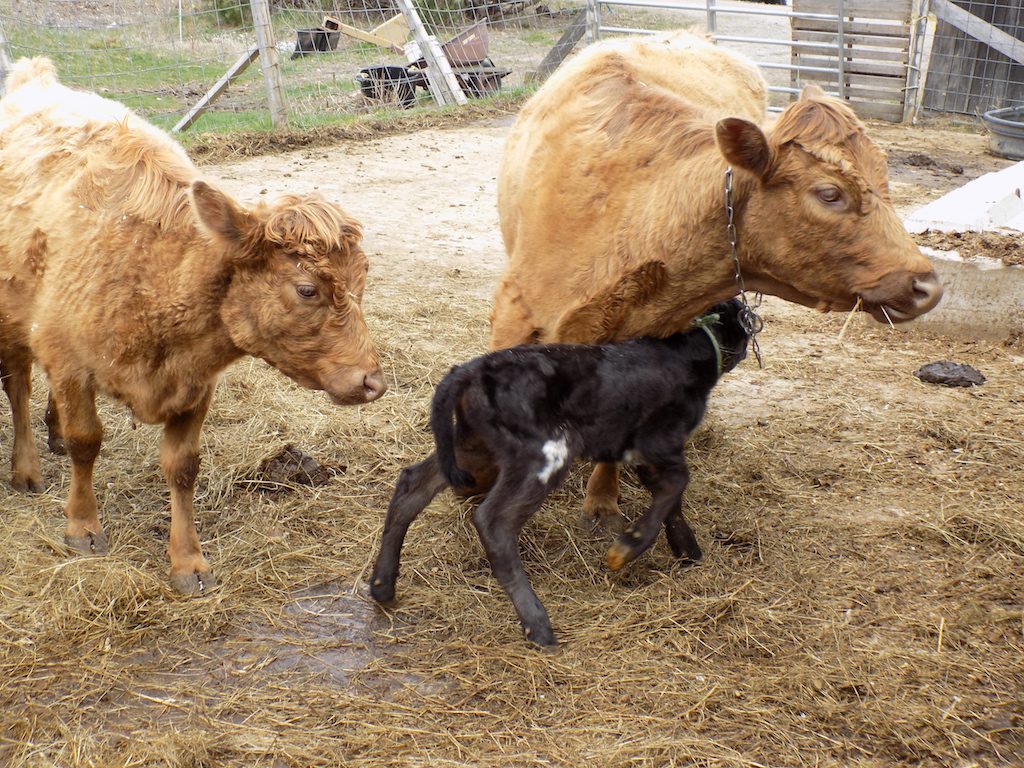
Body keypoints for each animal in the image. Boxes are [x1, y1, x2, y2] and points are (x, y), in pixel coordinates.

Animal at [0, 58, 385, 593]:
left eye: (363, 279)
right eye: (308, 289)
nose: (373, 382)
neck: (152, 269)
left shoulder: (196, 383)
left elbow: (182, 467)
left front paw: (188, 562)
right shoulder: (71, 360)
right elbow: (86, 441)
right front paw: (83, 526)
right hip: (13, 317)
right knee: (17, 384)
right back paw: (27, 468)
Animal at [370, 296, 753, 647]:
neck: (686, 353)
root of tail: (471, 370)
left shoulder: (646, 452)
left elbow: (669, 495)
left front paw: (686, 548)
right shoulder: (658, 441)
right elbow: (677, 484)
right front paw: (627, 547)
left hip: (471, 446)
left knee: (412, 485)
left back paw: (382, 585)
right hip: (543, 453)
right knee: (493, 521)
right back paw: (537, 624)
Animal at [487, 27, 942, 528]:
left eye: (886, 180)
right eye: (830, 193)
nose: (928, 286)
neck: (629, 213)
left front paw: (602, 502)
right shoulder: (513, 310)